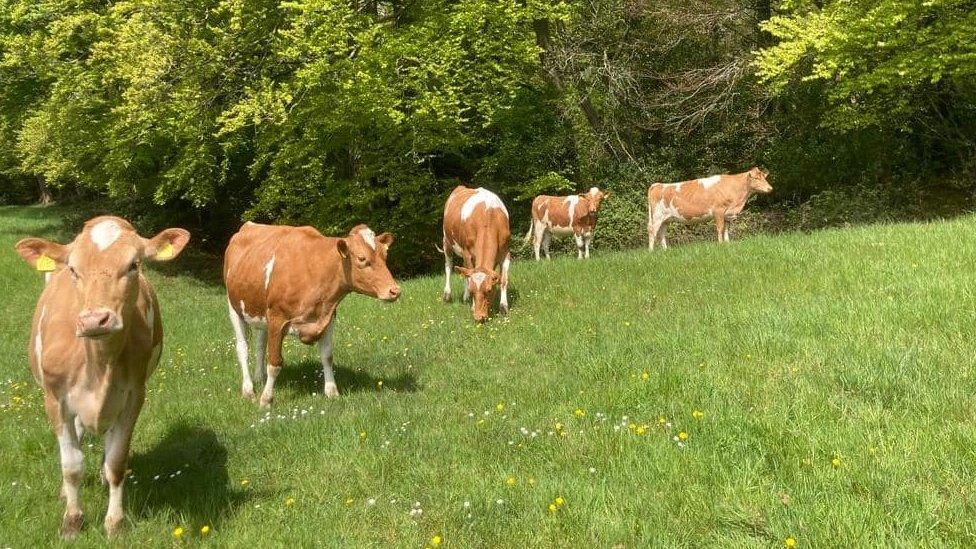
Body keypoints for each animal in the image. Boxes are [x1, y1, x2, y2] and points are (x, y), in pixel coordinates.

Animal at [15, 215, 190, 536]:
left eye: (133, 264)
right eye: (73, 268)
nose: (95, 320)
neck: (98, 365)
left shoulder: (133, 397)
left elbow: (117, 463)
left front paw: (115, 522)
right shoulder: (54, 400)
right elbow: (71, 465)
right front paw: (72, 520)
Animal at [223, 220, 398, 404]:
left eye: (385, 255)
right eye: (362, 258)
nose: (394, 290)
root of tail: (250, 225)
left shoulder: (328, 316)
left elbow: (327, 356)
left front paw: (331, 391)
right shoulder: (277, 318)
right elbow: (274, 363)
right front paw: (266, 399)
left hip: (261, 313)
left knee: (260, 345)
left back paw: (259, 378)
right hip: (234, 308)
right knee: (243, 348)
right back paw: (248, 389)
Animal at [442, 185, 516, 322]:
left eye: (489, 290)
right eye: (472, 291)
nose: (479, 317)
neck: (488, 216)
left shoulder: (506, 253)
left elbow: (503, 280)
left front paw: (503, 307)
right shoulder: (467, 253)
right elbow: (468, 276)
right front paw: (471, 305)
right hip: (446, 242)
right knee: (449, 267)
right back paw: (448, 295)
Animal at [644, 166, 772, 249]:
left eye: (764, 178)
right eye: (756, 178)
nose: (770, 188)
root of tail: (657, 185)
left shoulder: (728, 214)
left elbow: (726, 229)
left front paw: (727, 243)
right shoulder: (719, 211)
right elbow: (720, 229)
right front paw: (720, 245)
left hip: (666, 219)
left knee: (661, 233)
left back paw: (666, 250)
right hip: (657, 216)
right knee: (652, 230)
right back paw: (651, 251)